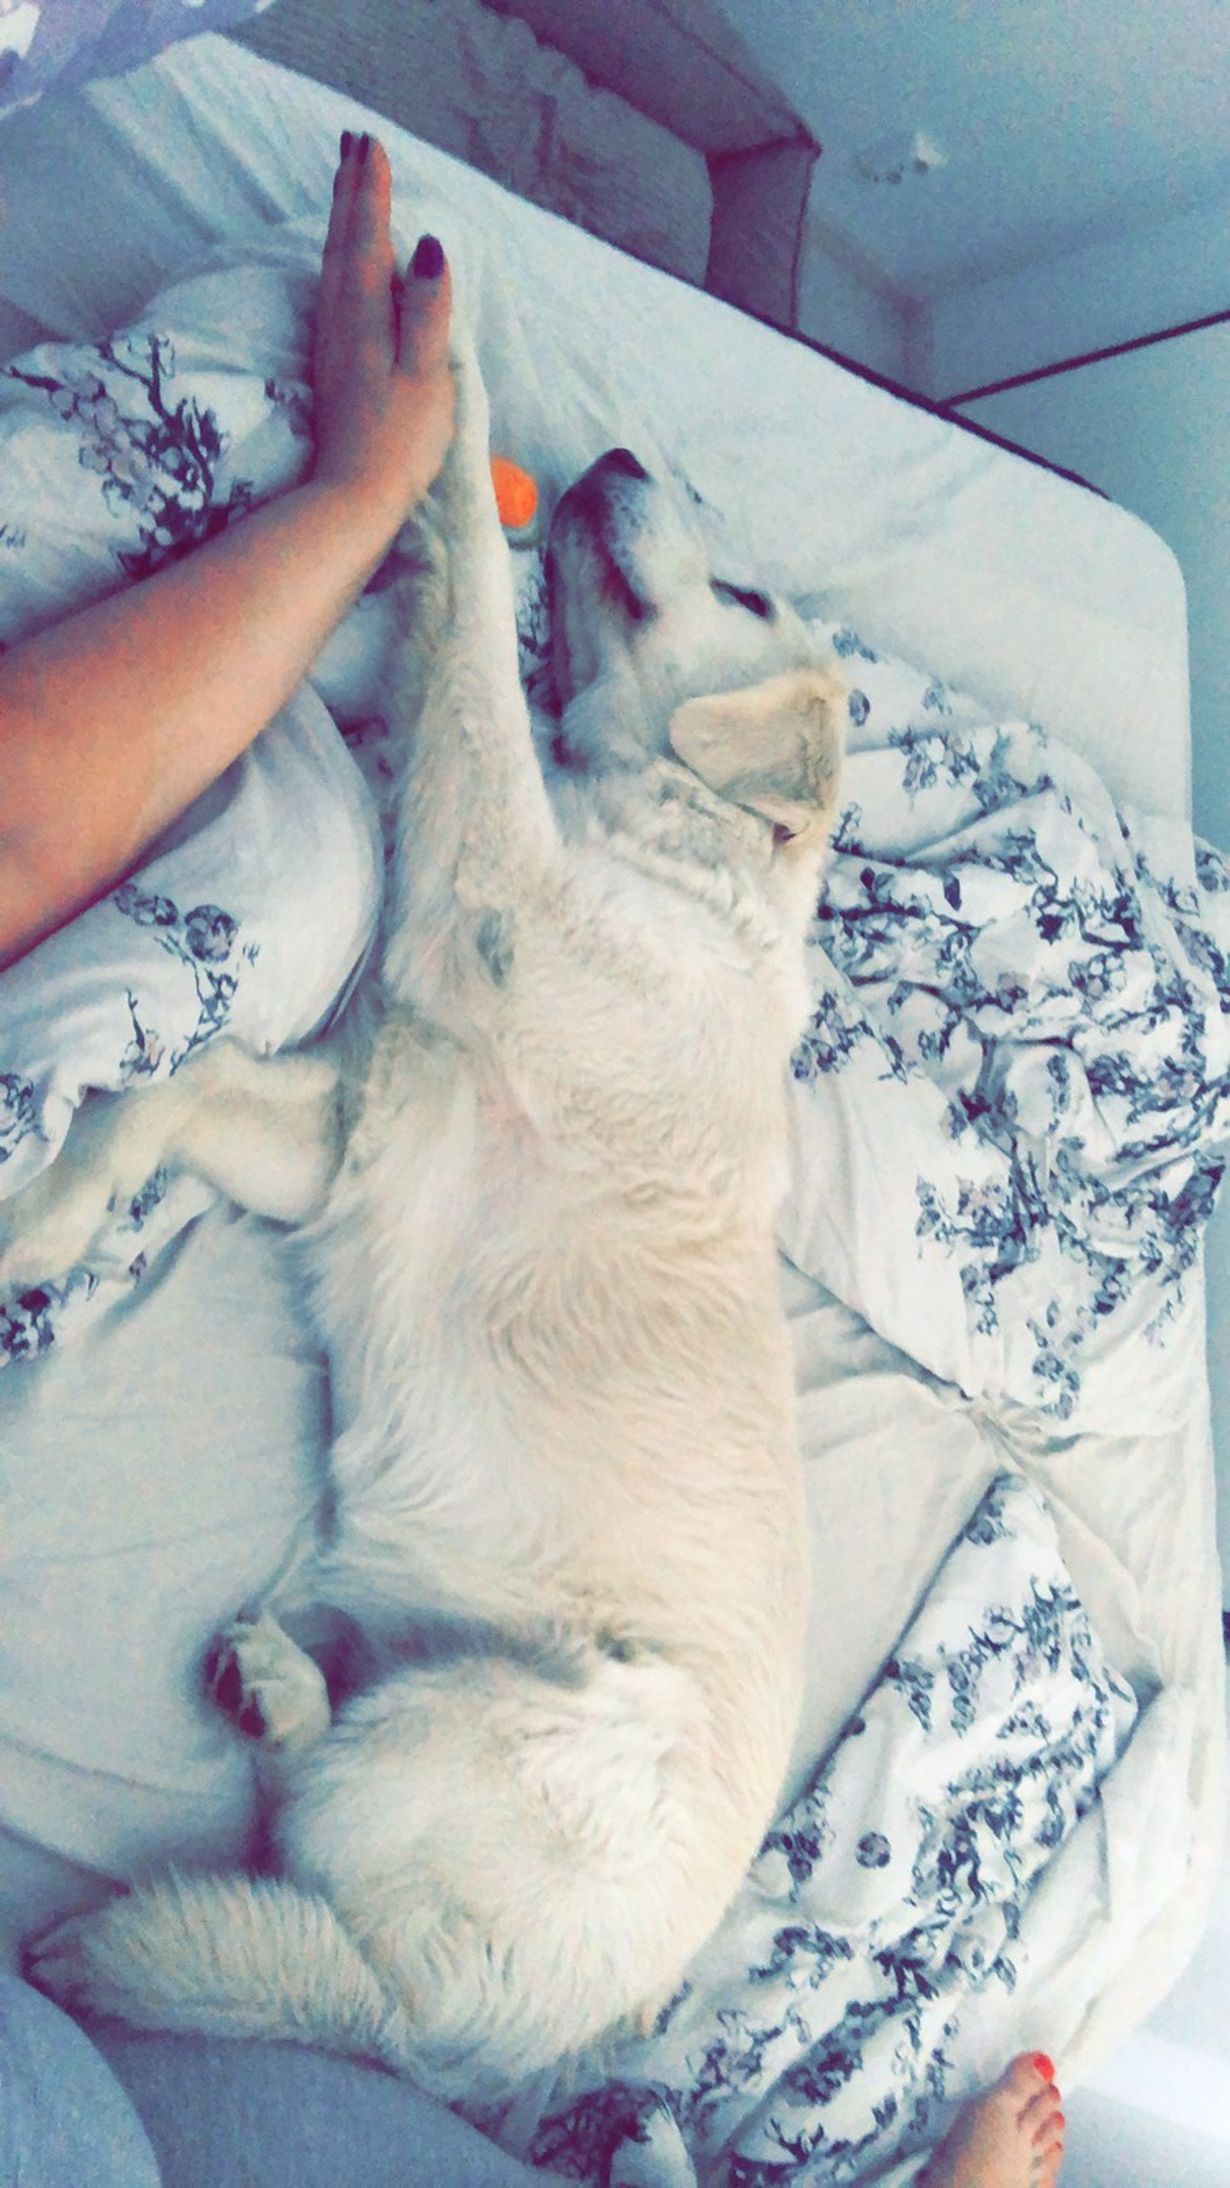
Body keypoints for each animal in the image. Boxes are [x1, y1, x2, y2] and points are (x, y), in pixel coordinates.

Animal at [9, 336, 847, 2102]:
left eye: (741, 588)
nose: (612, 457)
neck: (670, 859)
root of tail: (487, 2040)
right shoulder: (351, 1133)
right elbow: (168, 1091)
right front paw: (44, 1210)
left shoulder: (490, 881)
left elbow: (466, 611)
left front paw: (434, 375)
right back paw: (277, 1685)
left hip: (473, 1735)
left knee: (313, 1864)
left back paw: (264, 1712)